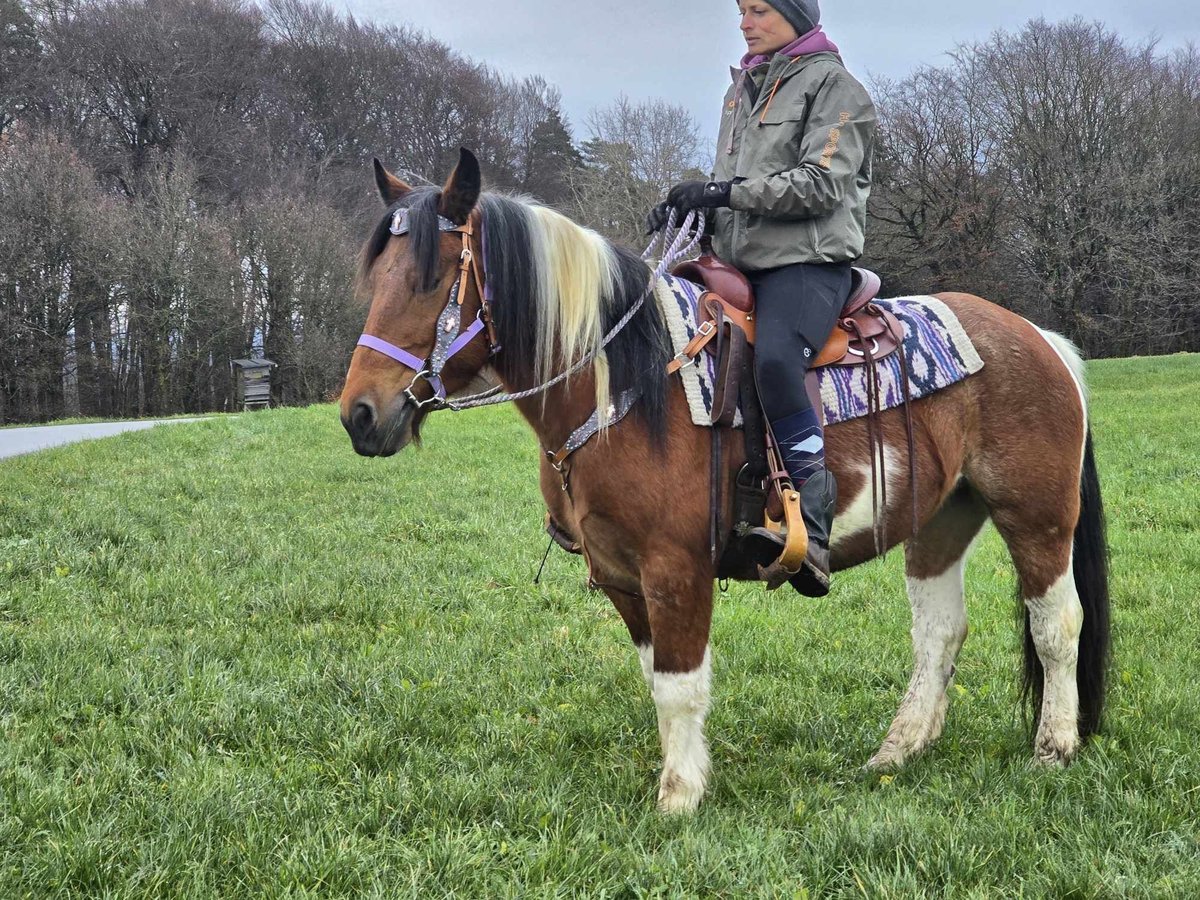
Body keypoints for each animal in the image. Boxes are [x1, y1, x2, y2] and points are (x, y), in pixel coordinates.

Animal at [338, 150, 1104, 816]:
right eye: (377, 278)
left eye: (433, 279)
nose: (360, 416)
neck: (626, 385)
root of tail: (1040, 339)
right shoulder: (622, 579)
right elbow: (660, 680)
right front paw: (686, 776)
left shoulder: (676, 569)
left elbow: (679, 686)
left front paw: (678, 799)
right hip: (941, 520)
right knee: (940, 632)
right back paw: (899, 750)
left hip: (1036, 516)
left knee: (1056, 623)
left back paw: (1054, 748)